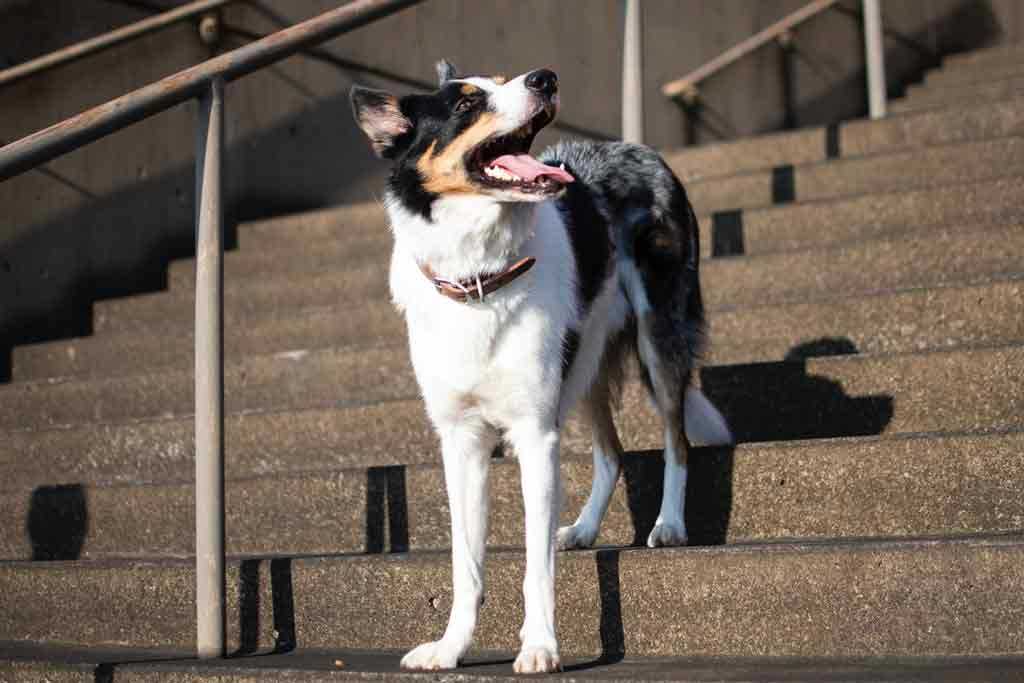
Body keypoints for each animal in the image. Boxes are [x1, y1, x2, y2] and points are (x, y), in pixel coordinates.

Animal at [350, 62, 729, 671]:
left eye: (505, 80)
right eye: (466, 103)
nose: (545, 78)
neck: (480, 277)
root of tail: (635, 147)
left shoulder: (534, 434)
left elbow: (534, 565)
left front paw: (540, 646)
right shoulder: (462, 443)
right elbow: (466, 563)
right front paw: (451, 647)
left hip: (657, 332)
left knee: (676, 438)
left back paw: (669, 523)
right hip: (586, 357)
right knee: (612, 452)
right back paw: (585, 528)